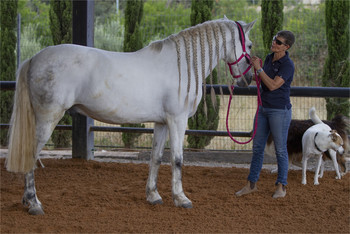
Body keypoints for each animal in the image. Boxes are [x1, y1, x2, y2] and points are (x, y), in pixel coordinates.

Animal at [6, 17, 258, 215]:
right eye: (250, 45)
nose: (248, 80)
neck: (181, 65)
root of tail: (34, 59)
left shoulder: (162, 122)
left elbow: (156, 157)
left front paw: (153, 196)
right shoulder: (177, 120)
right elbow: (177, 159)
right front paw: (181, 199)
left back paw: (27, 200)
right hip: (47, 119)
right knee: (31, 156)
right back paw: (35, 204)